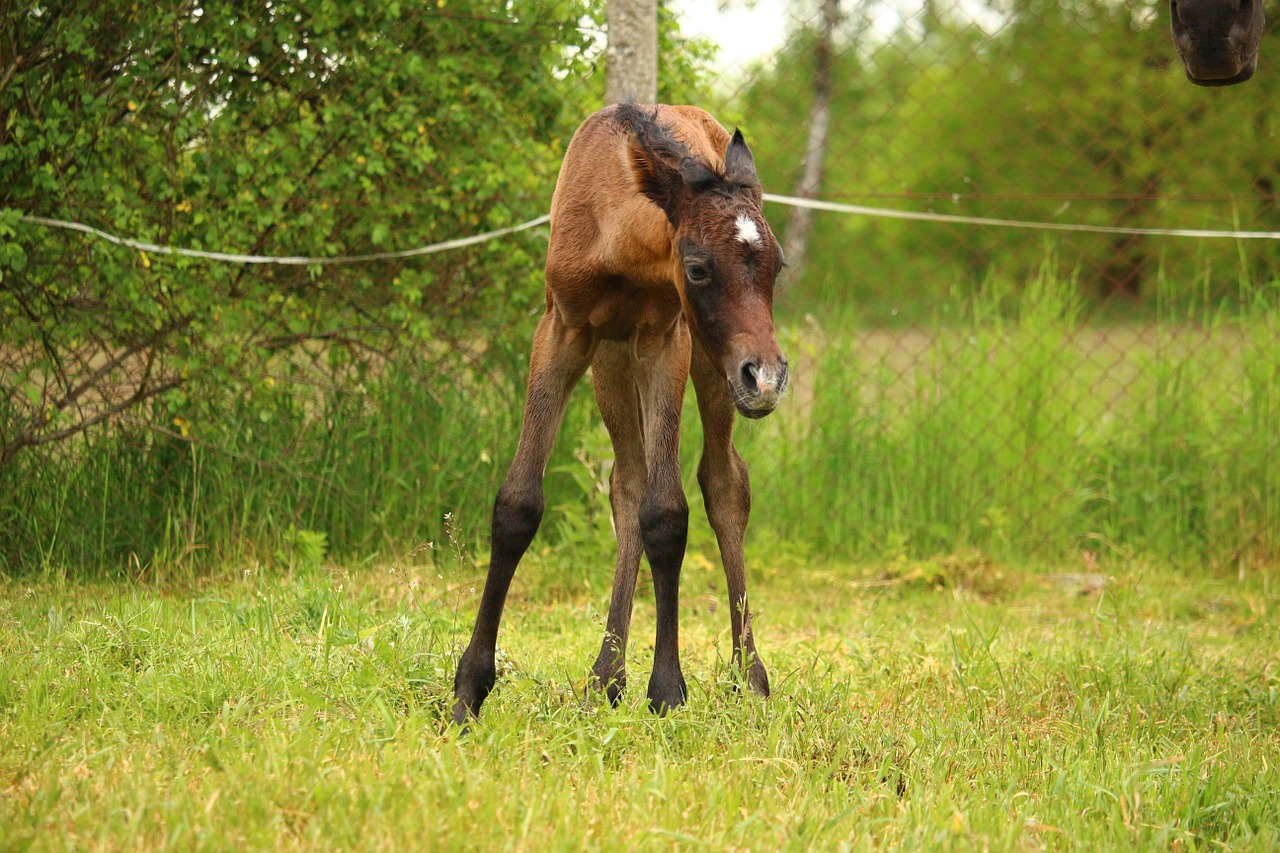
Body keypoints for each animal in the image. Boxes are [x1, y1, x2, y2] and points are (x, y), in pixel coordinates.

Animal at [450, 103, 788, 722]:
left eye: (776, 265)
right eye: (698, 268)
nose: (768, 378)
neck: (616, 240)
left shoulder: (666, 338)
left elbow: (668, 512)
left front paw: (668, 689)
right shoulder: (562, 329)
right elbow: (518, 504)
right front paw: (469, 689)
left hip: (709, 362)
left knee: (724, 482)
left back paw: (749, 677)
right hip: (614, 361)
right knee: (626, 483)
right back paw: (605, 677)